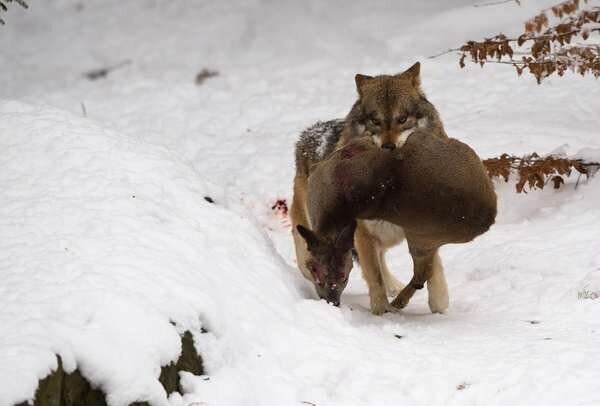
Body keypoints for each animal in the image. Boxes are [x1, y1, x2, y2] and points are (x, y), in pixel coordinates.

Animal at [290, 61, 450, 314]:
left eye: (402, 119)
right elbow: (374, 276)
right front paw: (382, 311)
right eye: (375, 121)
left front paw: (439, 304)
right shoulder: (361, 233)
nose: (388, 147)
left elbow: (433, 268)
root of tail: (309, 133)